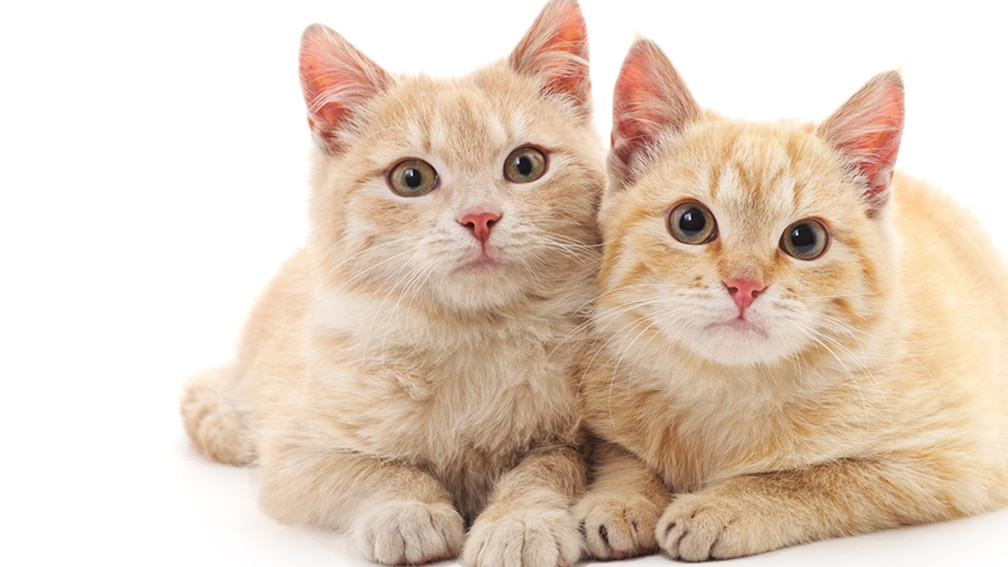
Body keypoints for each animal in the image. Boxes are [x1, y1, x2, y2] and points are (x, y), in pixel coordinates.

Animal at [179, 2, 604, 560]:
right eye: (411, 178)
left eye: (525, 164)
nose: (480, 217)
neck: (474, 337)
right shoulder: (294, 457)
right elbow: (369, 469)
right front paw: (408, 508)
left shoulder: (581, 436)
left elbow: (546, 466)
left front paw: (522, 521)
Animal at [576, 37, 1008, 556]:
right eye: (690, 222)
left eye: (805, 239)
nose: (744, 285)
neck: (730, 389)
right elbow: (622, 456)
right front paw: (620, 499)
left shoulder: (952, 462)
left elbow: (817, 478)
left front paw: (724, 506)